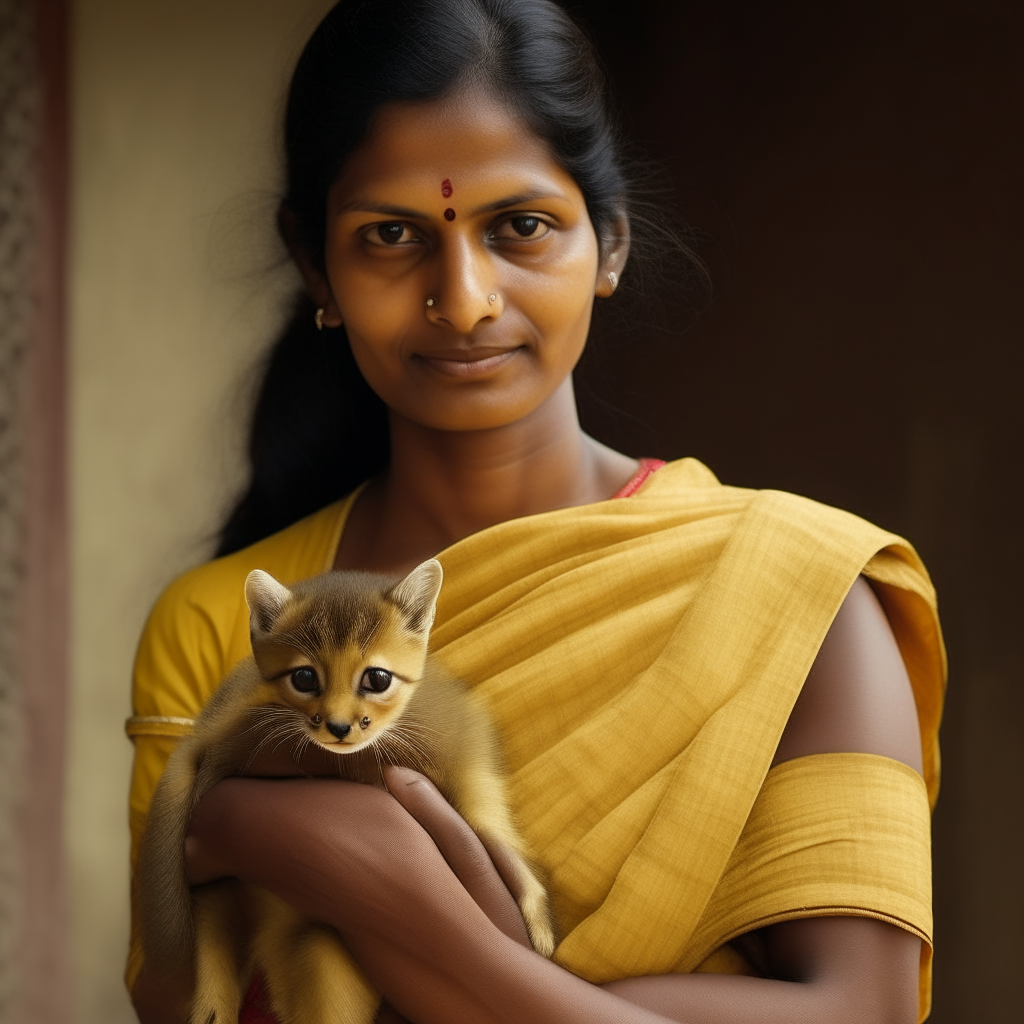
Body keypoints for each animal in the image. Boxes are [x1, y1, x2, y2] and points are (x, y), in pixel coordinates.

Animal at [137, 561, 557, 1024]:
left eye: (377, 678)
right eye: (304, 677)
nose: (338, 726)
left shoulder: (472, 772)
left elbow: (498, 842)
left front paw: (538, 923)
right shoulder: (216, 742)